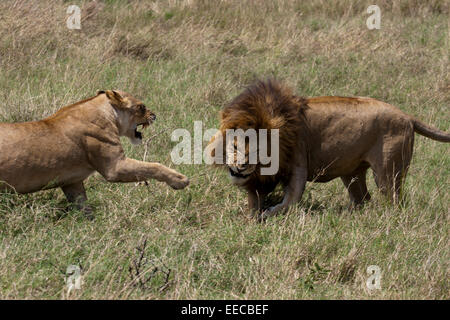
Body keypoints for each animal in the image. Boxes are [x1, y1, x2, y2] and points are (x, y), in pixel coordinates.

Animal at [0, 89, 189, 216]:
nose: (154, 115)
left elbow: (83, 206)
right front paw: (179, 179)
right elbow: (152, 166)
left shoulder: (72, 181)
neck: (107, 114)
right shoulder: (115, 167)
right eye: (141, 107)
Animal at [208, 79, 450, 220]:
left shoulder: (298, 165)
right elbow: (254, 199)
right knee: (363, 199)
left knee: (394, 201)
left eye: (257, 152)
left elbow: (290, 201)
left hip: (388, 173)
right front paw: (250, 217)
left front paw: (266, 215)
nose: (241, 166)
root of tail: (408, 117)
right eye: (235, 146)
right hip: (352, 173)